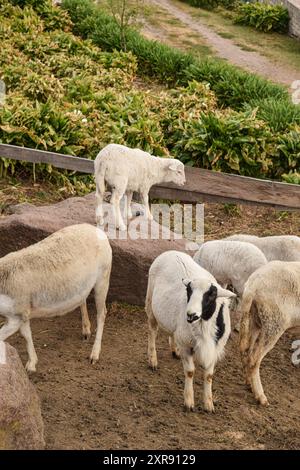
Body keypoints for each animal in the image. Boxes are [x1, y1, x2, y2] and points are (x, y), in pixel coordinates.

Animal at [0, 224, 112, 370]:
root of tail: (96, 229)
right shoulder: (22, 313)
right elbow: (26, 335)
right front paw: (32, 364)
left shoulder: (16, 315)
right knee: (83, 300)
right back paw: (86, 331)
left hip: (103, 277)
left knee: (102, 313)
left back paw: (94, 355)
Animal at [145, 250, 237, 412]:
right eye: (188, 291)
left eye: (211, 295)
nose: (190, 314)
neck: (204, 326)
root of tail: (171, 252)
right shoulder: (186, 345)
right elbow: (190, 372)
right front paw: (188, 401)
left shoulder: (215, 348)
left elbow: (209, 375)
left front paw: (208, 404)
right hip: (151, 303)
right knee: (152, 331)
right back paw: (153, 360)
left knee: (172, 332)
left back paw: (174, 351)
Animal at [240, 260, 300, 408]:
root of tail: (252, 286)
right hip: (274, 323)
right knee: (254, 359)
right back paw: (260, 396)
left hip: (255, 319)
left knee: (247, 351)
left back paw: (249, 383)